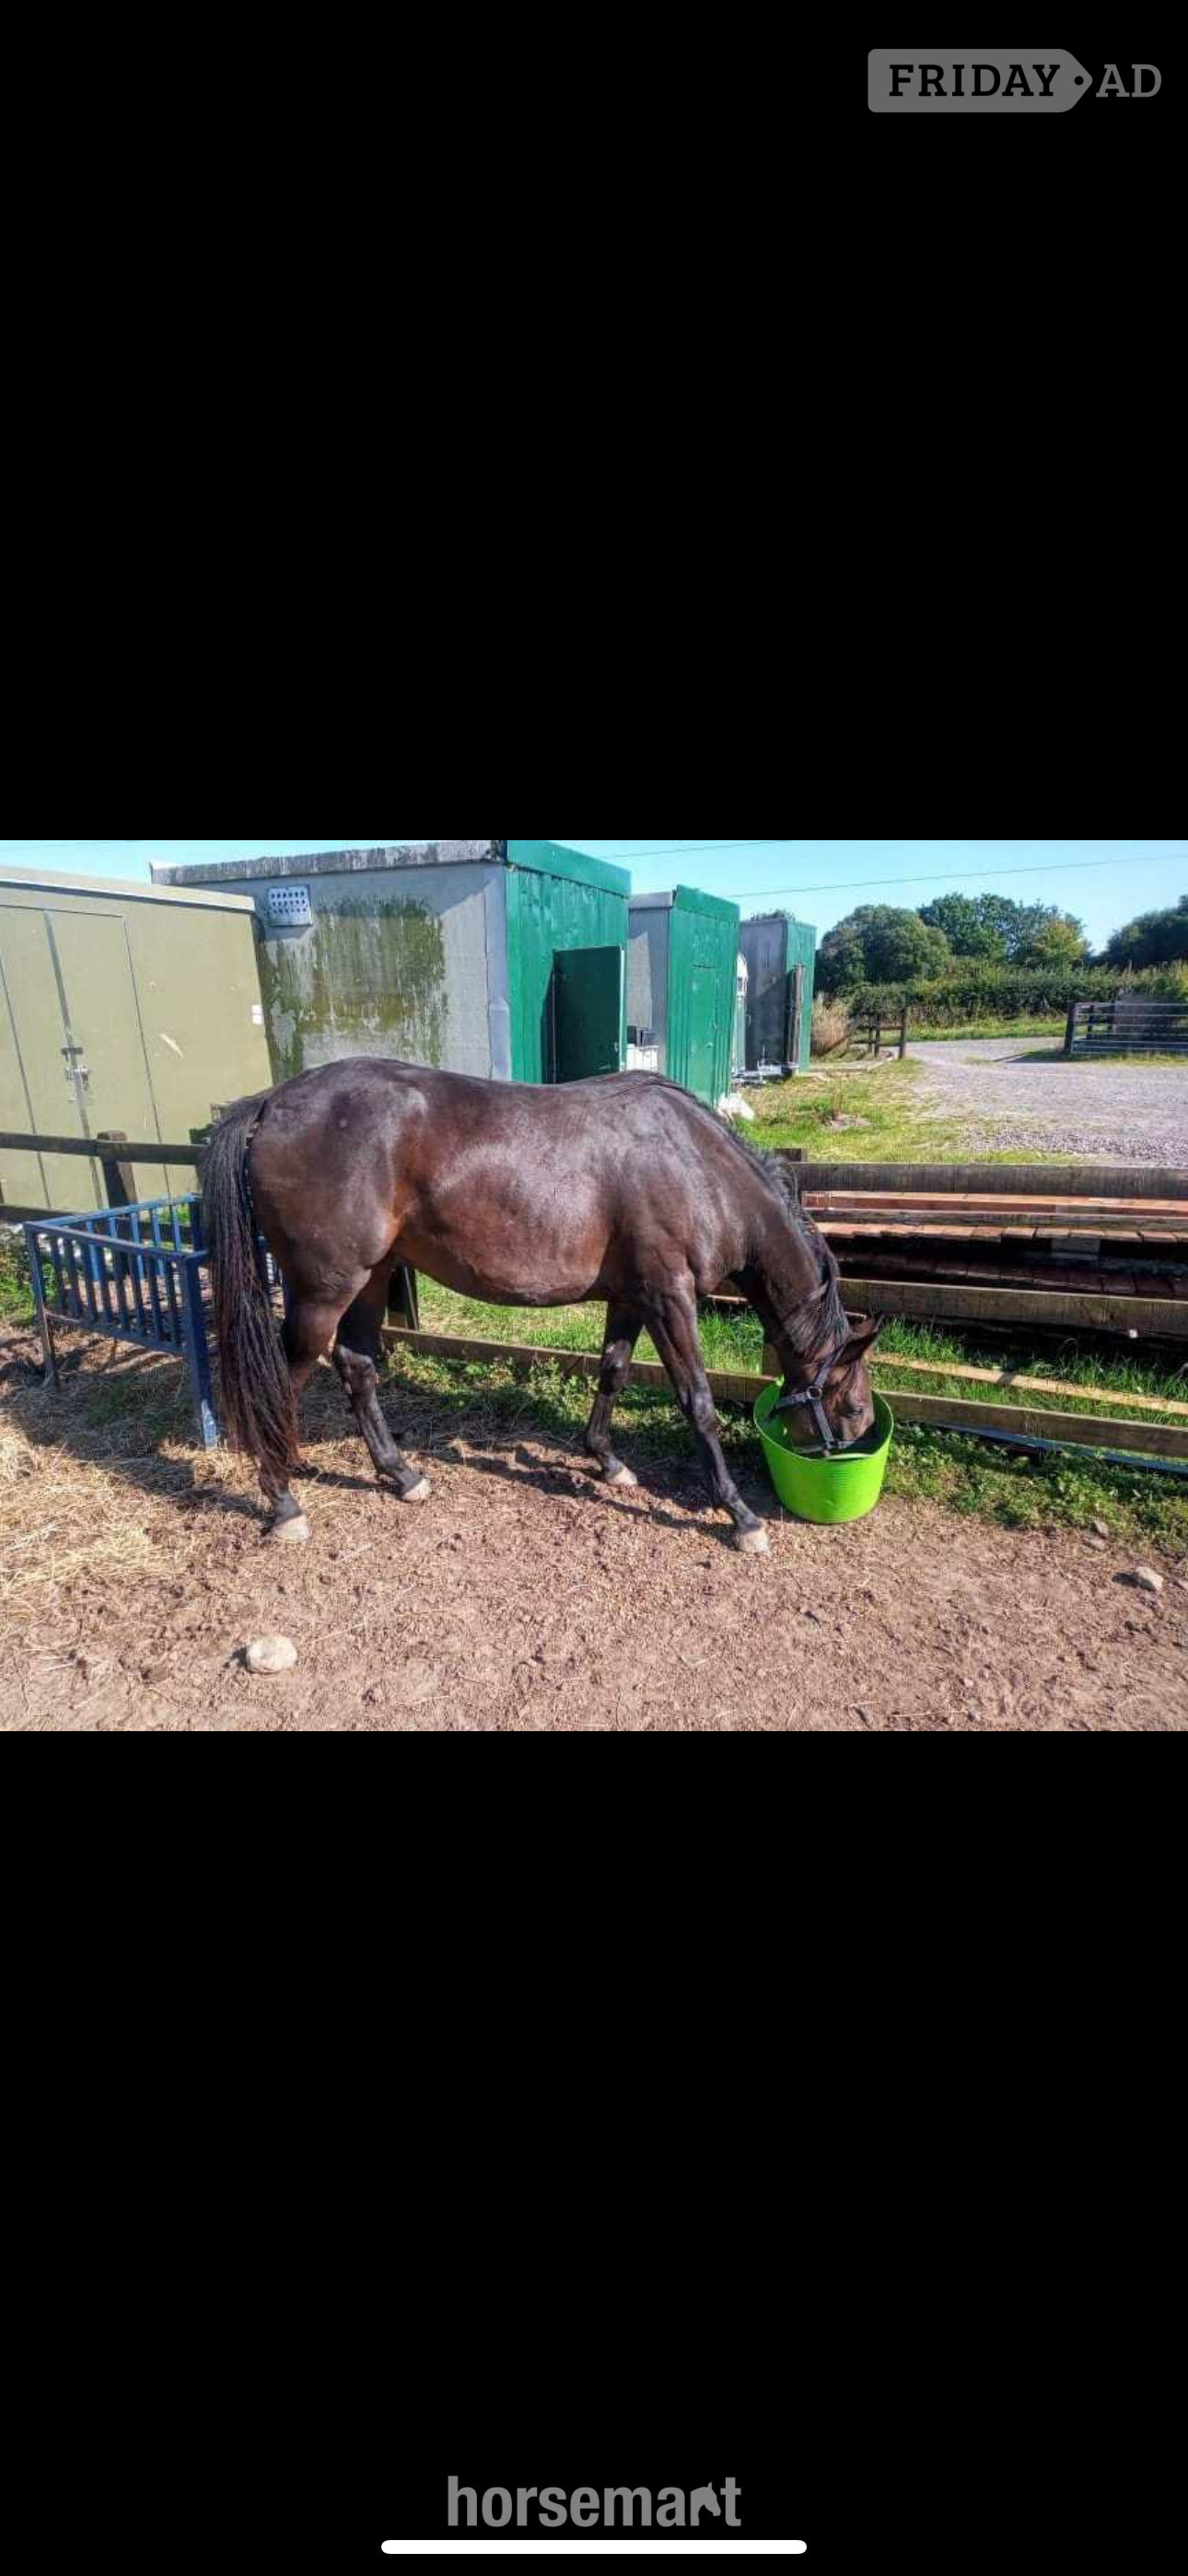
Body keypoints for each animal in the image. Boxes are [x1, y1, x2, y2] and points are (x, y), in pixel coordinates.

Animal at [200, 1061, 881, 1555]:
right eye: (853, 1402)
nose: (854, 1442)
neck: (696, 1168)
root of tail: (271, 1103)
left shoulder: (632, 1297)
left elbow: (613, 1372)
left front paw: (607, 1461)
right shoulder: (669, 1297)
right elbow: (698, 1401)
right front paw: (739, 1513)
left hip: (371, 1278)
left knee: (357, 1366)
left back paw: (401, 1474)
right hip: (323, 1291)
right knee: (283, 1382)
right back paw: (284, 1503)